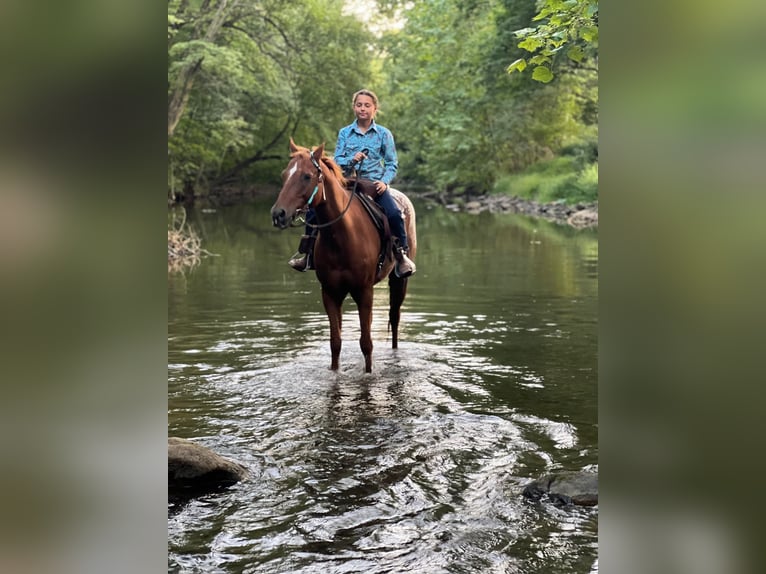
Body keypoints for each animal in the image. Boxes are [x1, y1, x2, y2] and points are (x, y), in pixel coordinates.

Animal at [272, 140, 420, 374]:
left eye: (306, 176)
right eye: (285, 174)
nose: (278, 214)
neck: (341, 236)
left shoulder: (364, 292)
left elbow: (366, 343)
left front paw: (368, 373)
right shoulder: (330, 292)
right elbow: (336, 342)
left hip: (398, 280)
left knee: (394, 319)